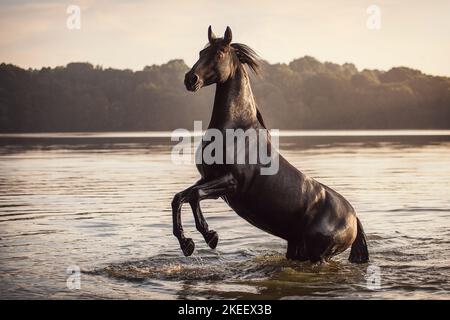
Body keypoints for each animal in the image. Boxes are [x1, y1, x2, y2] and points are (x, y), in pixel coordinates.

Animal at [172, 26, 370, 264]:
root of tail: (354, 218)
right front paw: (188, 244)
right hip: (297, 249)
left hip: (319, 254)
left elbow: (194, 195)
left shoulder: (230, 182)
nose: (190, 79)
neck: (234, 128)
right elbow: (180, 197)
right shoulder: (208, 178)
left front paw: (210, 236)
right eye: (201, 52)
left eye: (219, 53)